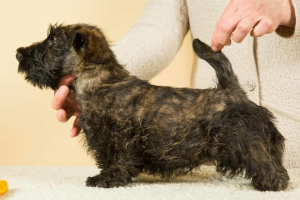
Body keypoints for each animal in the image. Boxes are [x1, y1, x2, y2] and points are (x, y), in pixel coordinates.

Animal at [15, 23, 288, 191]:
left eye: (52, 42)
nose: (19, 53)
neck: (102, 81)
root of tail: (232, 89)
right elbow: (109, 157)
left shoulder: (120, 134)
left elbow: (119, 158)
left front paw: (107, 178)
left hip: (247, 137)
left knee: (264, 160)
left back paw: (270, 183)